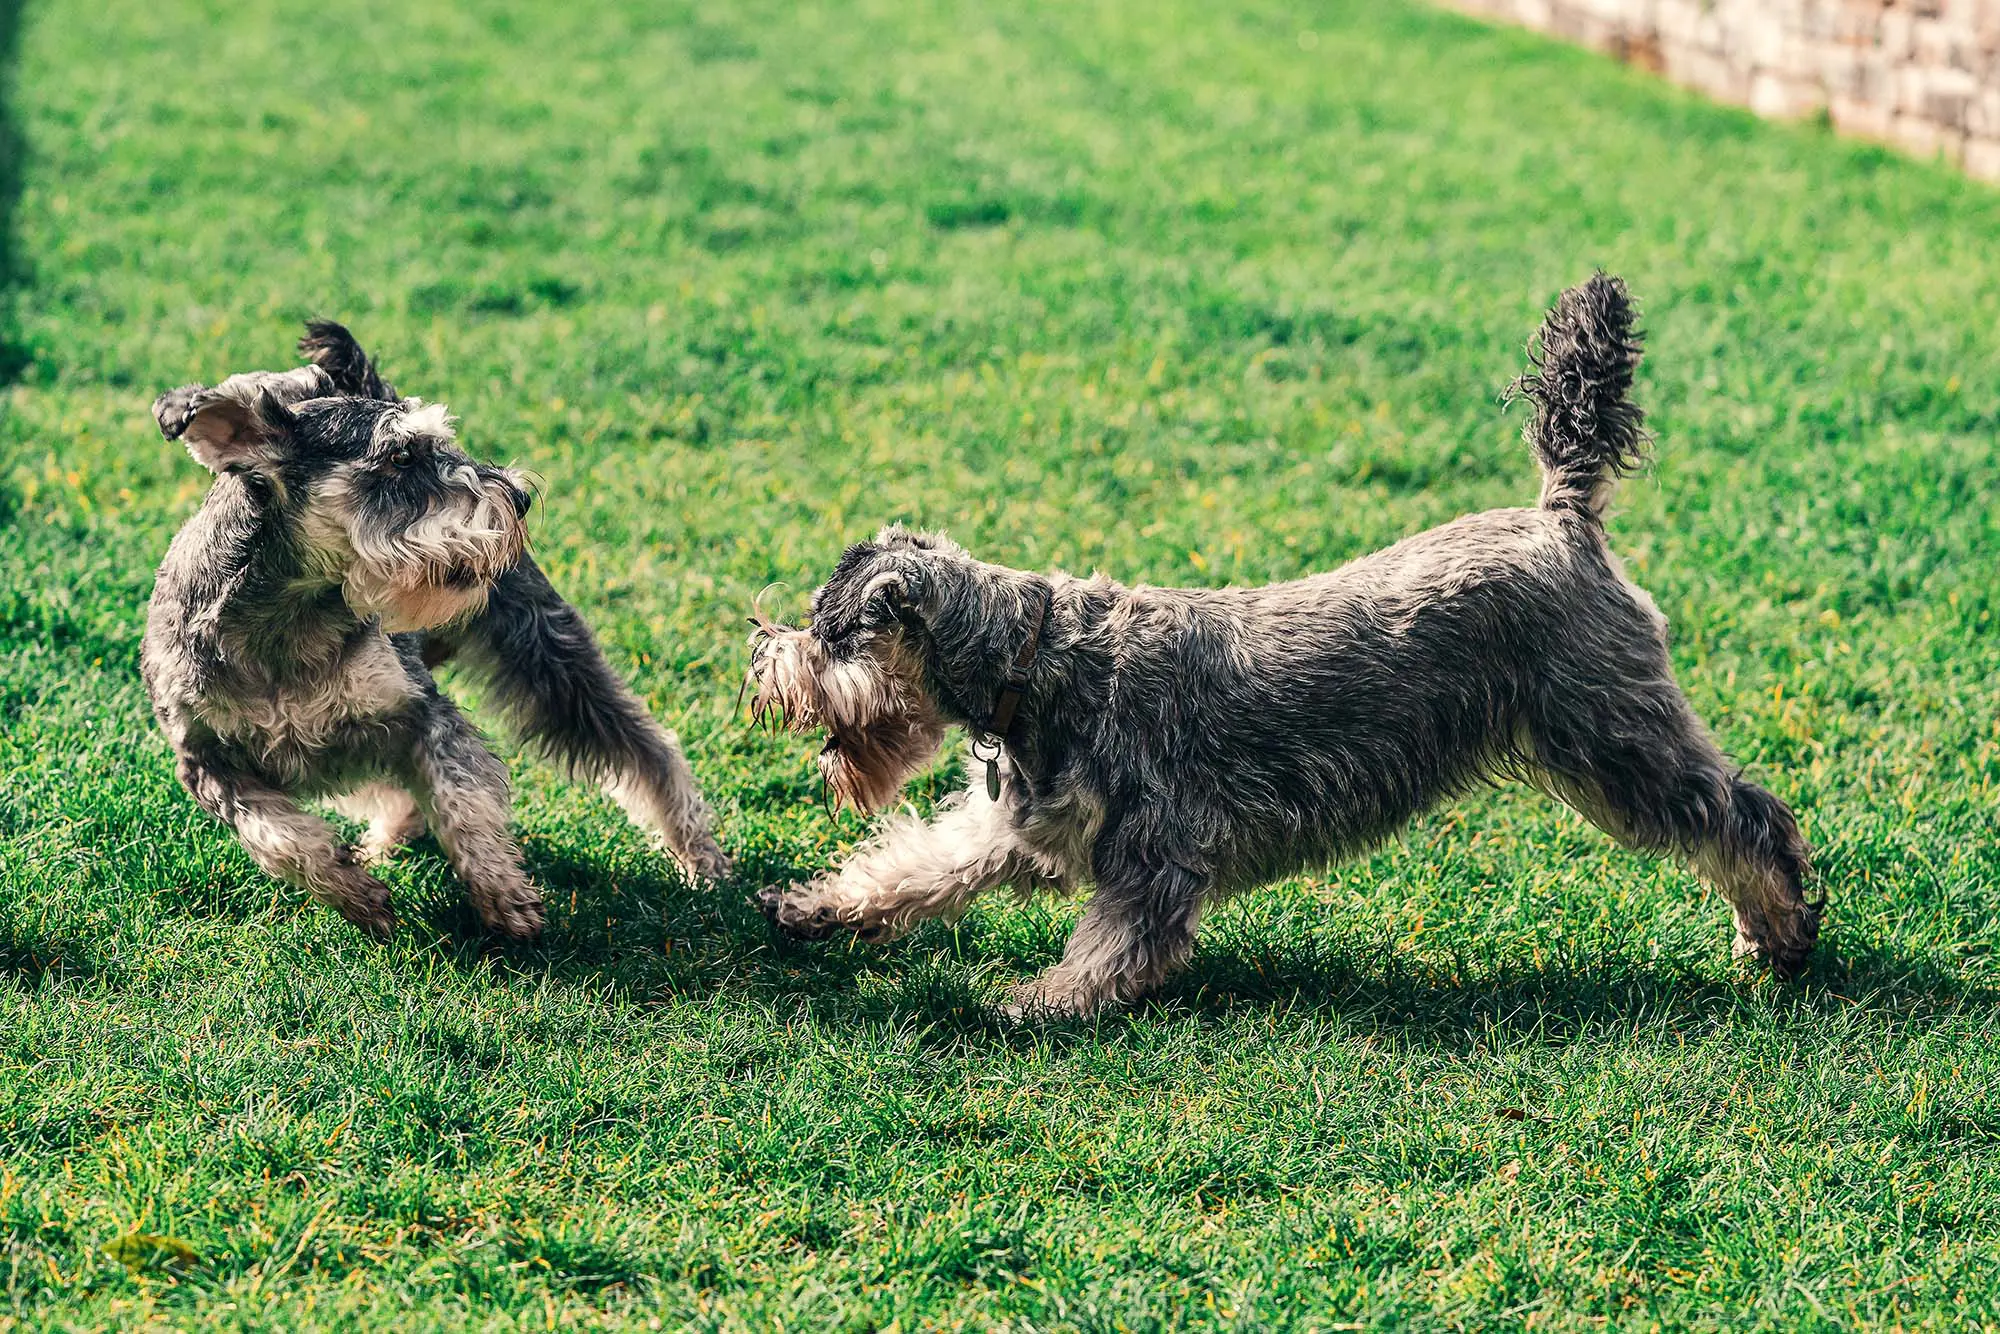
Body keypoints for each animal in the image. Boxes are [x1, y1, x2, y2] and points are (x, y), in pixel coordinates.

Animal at [145, 326, 732, 940]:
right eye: (400, 455)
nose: (520, 498)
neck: (285, 623)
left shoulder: (421, 713)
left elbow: (462, 800)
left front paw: (503, 896)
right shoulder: (208, 763)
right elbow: (280, 839)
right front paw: (358, 895)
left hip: (548, 654)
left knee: (648, 749)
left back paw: (700, 857)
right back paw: (381, 846)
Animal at [744, 276, 1824, 1016]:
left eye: (829, 631)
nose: (760, 656)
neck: (1033, 663)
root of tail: (1562, 516)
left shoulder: (1155, 850)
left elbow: (1115, 945)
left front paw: (1040, 1001)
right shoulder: (1011, 826)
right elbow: (914, 863)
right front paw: (818, 908)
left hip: (1614, 743)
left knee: (1747, 820)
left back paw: (1777, 937)